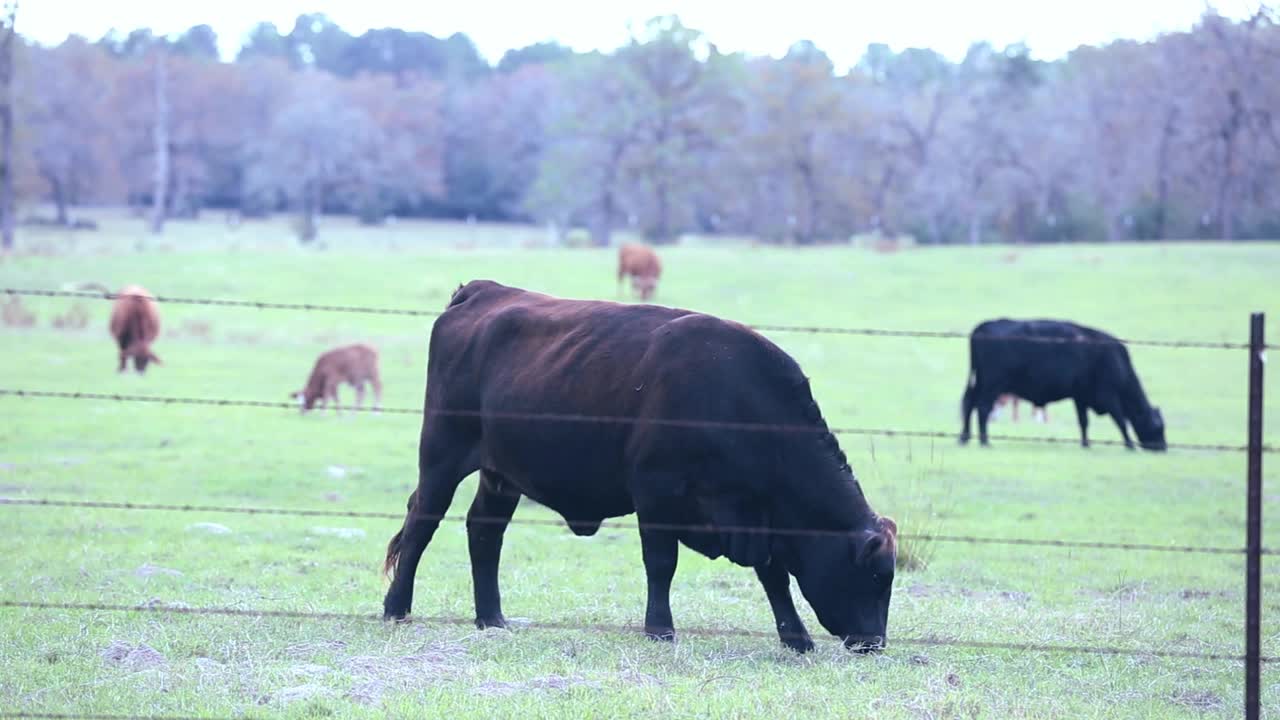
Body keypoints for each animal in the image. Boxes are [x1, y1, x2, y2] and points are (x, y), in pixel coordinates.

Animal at [384, 279, 896, 650]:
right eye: (874, 577)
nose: (874, 642)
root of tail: (483, 291)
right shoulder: (656, 494)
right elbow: (661, 563)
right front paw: (660, 628)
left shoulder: (757, 519)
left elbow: (774, 576)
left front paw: (796, 637)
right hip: (442, 457)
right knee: (421, 524)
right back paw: (396, 608)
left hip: (501, 476)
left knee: (485, 532)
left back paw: (491, 617)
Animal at [957, 317, 1167, 448]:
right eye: (1158, 427)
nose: (1163, 447)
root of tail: (984, 326)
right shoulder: (1108, 396)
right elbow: (1121, 420)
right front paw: (1130, 445)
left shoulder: (1081, 397)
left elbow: (1084, 422)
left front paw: (1085, 444)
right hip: (992, 385)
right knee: (982, 408)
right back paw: (984, 441)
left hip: (980, 382)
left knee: (969, 405)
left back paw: (964, 438)